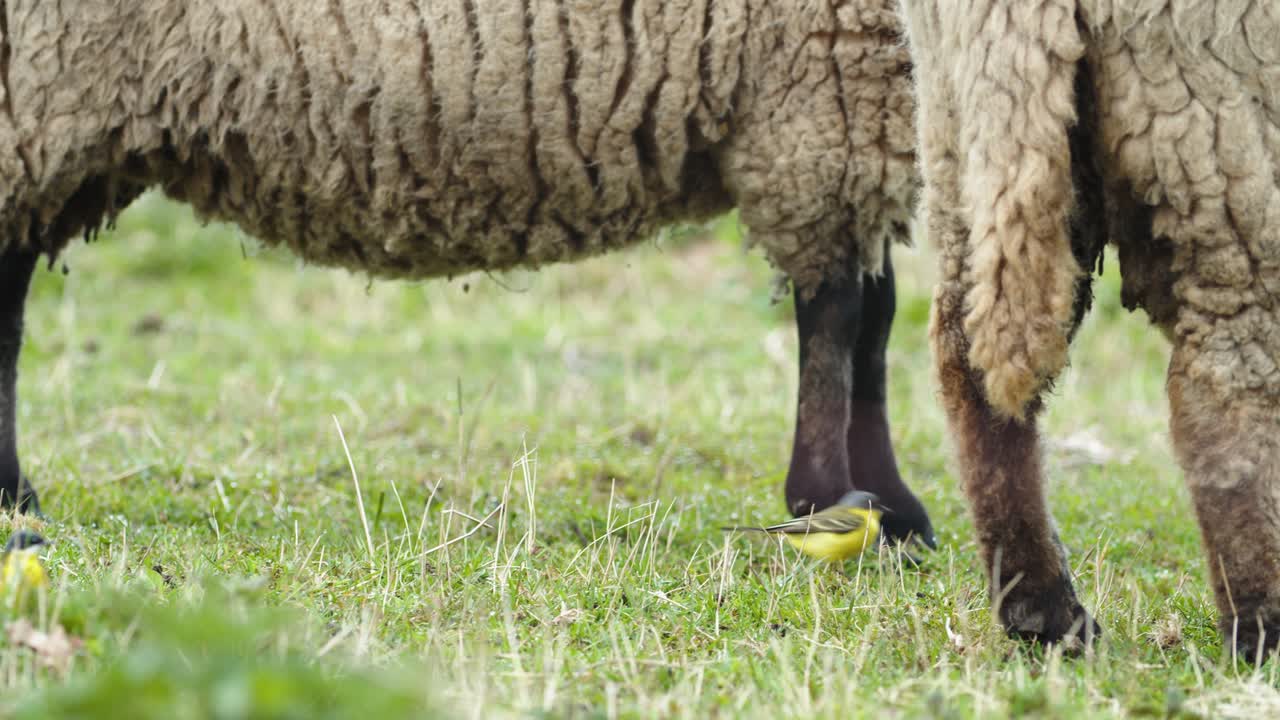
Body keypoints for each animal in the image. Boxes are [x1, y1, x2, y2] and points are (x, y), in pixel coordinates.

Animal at [0, 0, 935, 545]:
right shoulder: (825, 90)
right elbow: (841, 316)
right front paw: (832, 498)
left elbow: (876, 319)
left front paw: (890, 508)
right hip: (39, 89)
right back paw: (16, 498)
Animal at [899, 0, 1280, 654]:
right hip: (1217, 126)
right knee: (1225, 388)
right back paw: (1263, 628)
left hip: (963, 123)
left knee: (967, 367)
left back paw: (1044, 614)